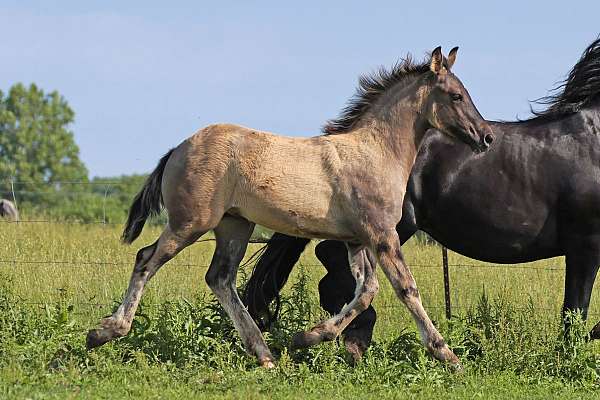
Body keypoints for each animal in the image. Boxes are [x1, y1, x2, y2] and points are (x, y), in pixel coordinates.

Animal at [88, 47, 492, 368]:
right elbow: (405, 288)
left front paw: (307, 337)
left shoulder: (357, 239)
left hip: (234, 226)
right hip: (190, 222)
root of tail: (178, 148)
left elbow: (366, 291)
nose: (486, 137)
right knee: (146, 258)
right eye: (456, 96)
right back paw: (104, 332)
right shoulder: (381, 234)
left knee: (219, 278)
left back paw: (264, 354)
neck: (375, 153)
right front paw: (448, 356)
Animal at [241, 36, 600, 360]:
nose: (486, 138)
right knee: (332, 263)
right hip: (391, 227)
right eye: (456, 95)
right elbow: (575, 311)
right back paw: (348, 338)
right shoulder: (584, 247)